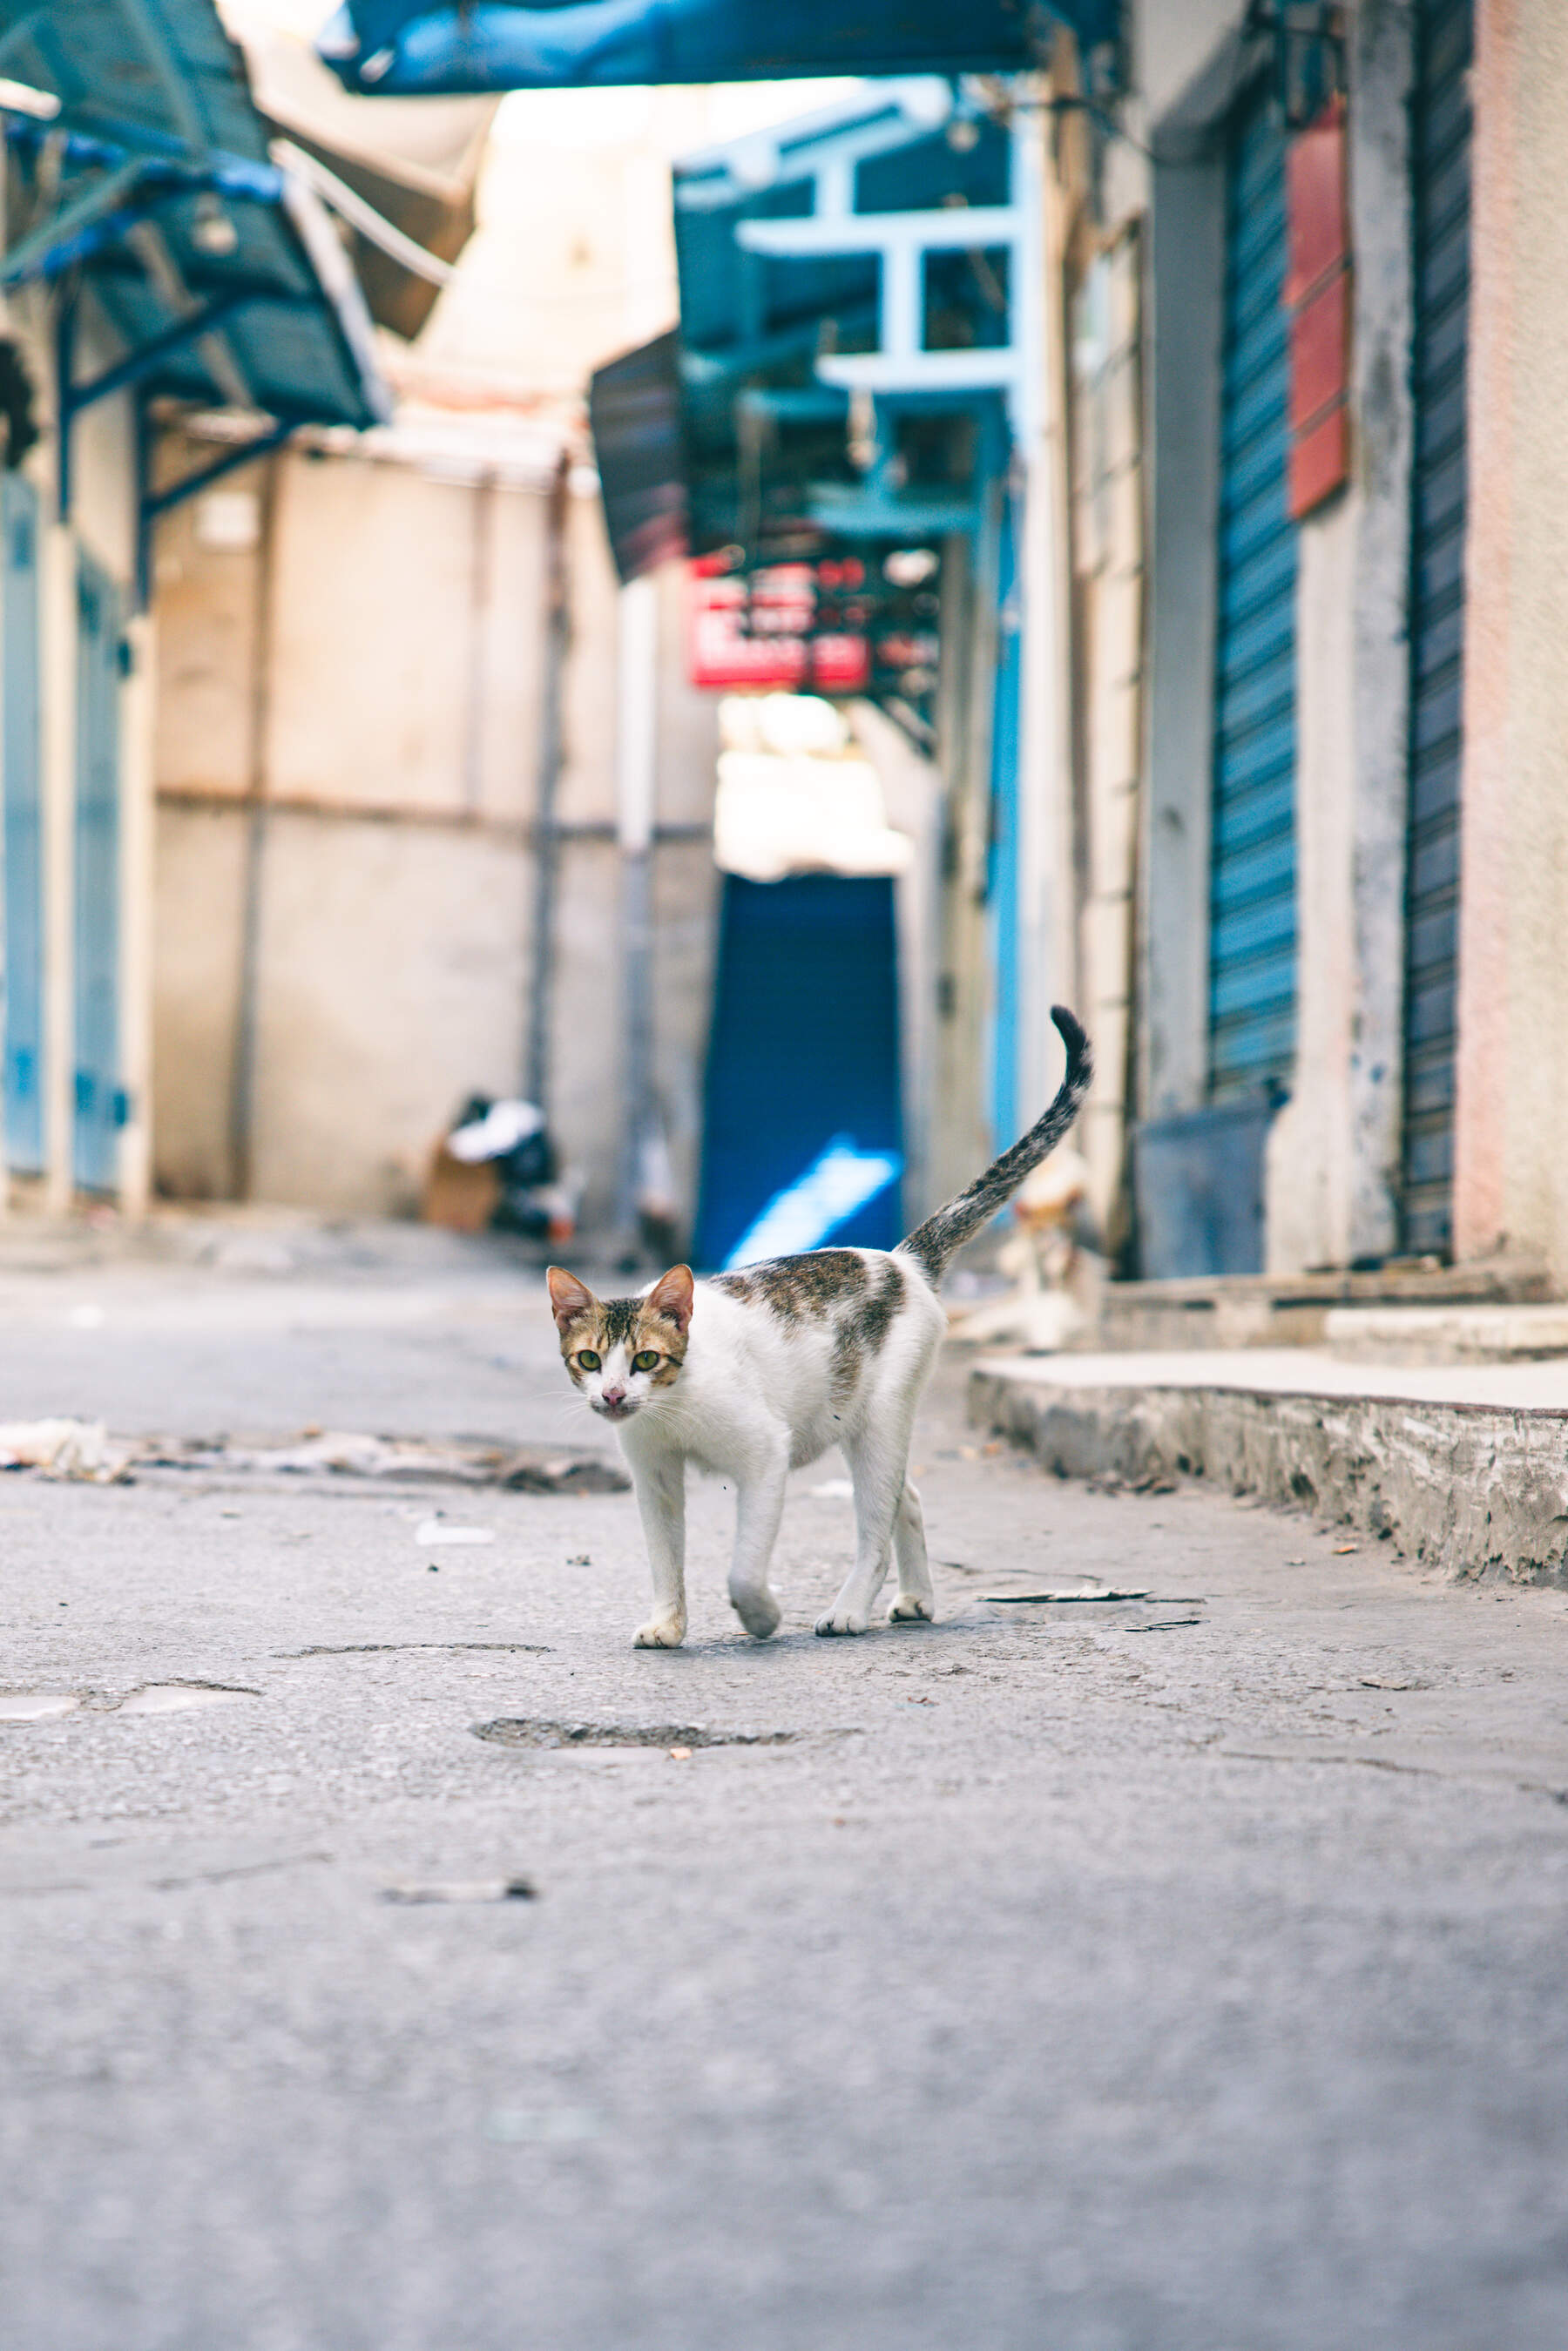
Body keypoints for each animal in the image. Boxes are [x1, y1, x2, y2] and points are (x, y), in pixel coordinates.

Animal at [543, 1001, 1091, 1645]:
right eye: (589, 1359)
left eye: (646, 1358)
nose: (612, 1394)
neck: (674, 1406)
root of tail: (902, 1260)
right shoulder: (653, 1475)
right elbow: (664, 1558)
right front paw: (667, 1623)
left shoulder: (764, 1456)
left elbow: (743, 1567)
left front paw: (760, 1615)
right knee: (908, 1498)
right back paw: (916, 1598)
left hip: (881, 1421)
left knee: (876, 1526)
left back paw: (850, 1609)